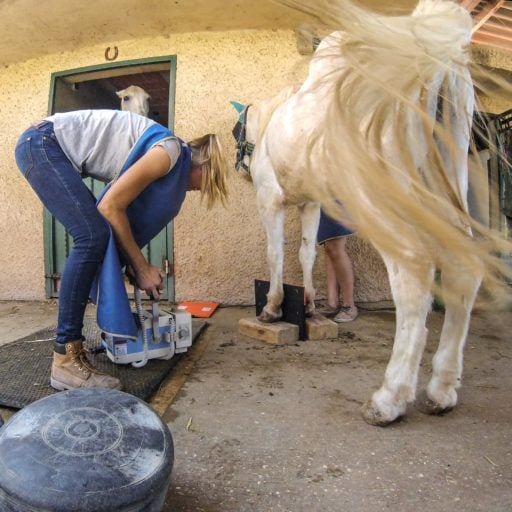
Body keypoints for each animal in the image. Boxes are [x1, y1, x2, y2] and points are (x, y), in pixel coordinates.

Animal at [231, 0, 512, 426]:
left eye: (236, 131)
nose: (240, 169)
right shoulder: (313, 202)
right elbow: (307, 253)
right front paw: (308, 304)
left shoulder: (270, 199)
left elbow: (276, 254)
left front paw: (273, 307)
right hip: (445, 182)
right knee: (464, 267)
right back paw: (442, 390)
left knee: (414, 276)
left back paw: (389, 398)